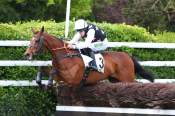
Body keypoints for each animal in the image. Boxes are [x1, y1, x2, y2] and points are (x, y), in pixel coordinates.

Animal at [24, 26, 153, 88]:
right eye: (31, 40)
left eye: (36, 40)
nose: (26, 54)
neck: (65, 56)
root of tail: (127, 55)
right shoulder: (62, 77)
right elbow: (43, 68)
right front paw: (39, 81)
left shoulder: (71, 79)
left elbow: (53, 72)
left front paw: (49, 84)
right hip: (115, 80)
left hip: (127, 78)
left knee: (136, 83)